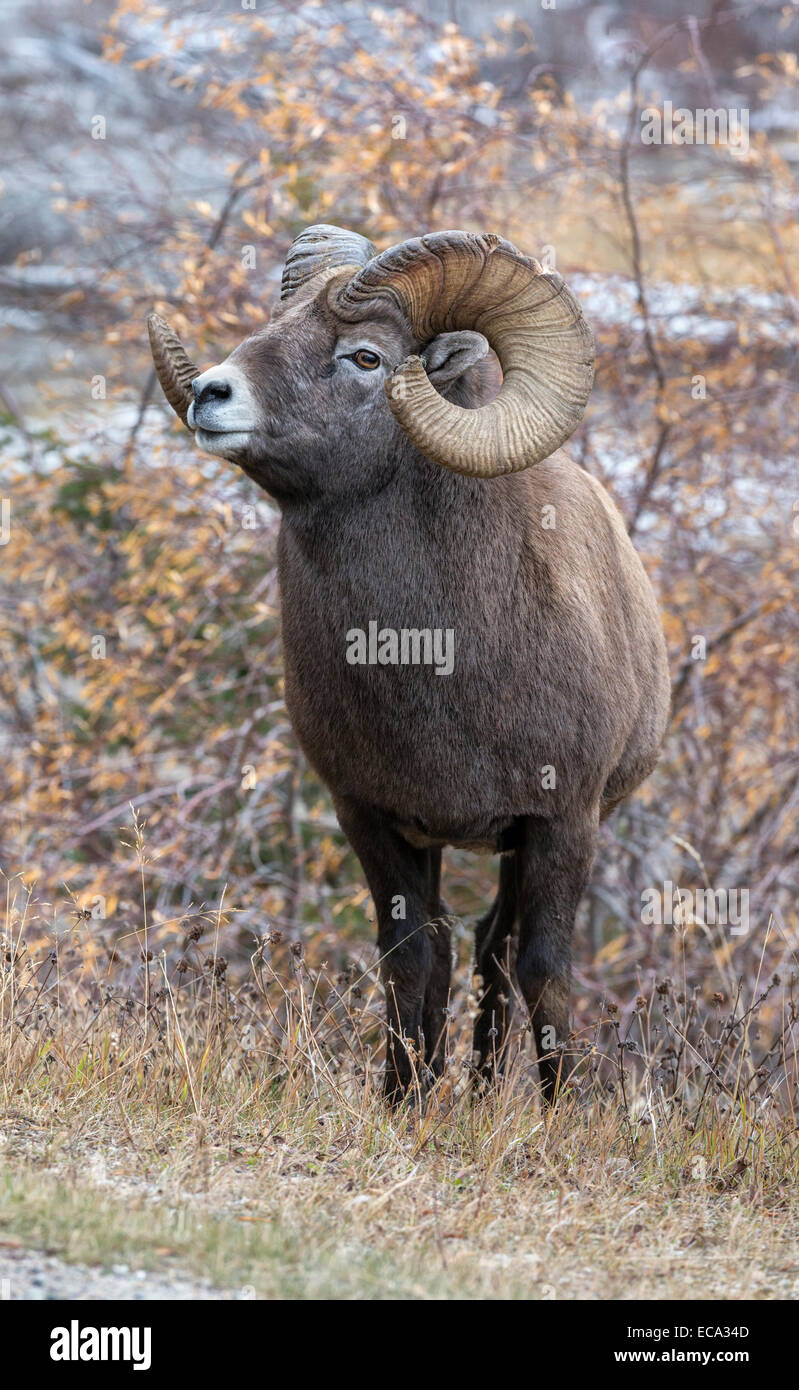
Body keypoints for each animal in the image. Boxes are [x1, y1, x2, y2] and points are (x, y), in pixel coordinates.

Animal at [148, 225, 670, 1102]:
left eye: (365, 357)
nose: (211, 396)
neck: (432, 657)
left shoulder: (562, 821)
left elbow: (545, 968)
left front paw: (560, 1114)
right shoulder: (372, 819)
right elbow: (412, 962)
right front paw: (402, 1103)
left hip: (521, 845)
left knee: (502, 950)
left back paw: (491, 1093)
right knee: (471, 947)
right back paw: (466, 1091)